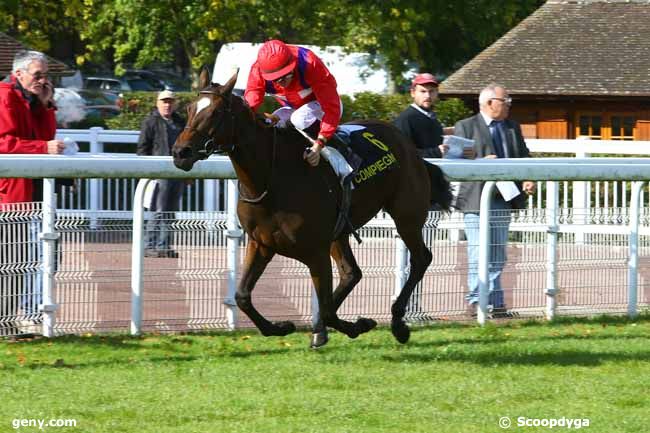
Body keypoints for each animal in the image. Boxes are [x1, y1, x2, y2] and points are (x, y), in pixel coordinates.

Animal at [172, 70, 450, 348]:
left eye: (216, 112)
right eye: (189, 108)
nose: (180, 152)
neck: (272, 178)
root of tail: (408, 145)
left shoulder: (316, 251)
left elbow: (325, 309)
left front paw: (359, 324)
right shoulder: (261, 243)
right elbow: (242, 296)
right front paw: (282, 327)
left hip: (406, 215)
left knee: (420, 258)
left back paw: (398, 323)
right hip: (340, 231)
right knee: (351, 273)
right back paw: (321, 329)